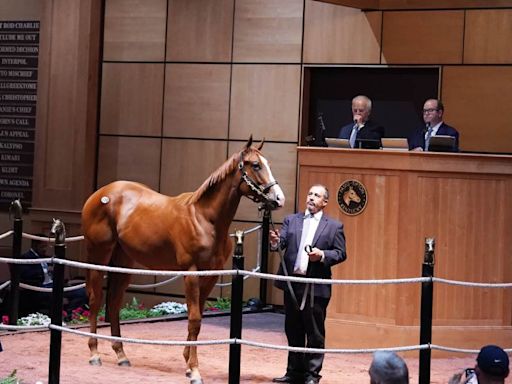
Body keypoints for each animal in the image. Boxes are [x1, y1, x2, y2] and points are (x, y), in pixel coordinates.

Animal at [82, 137, 286, 380]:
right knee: (95, 300)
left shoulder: (210, 276)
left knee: (113, 303)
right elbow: (194, 320)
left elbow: (196, 317)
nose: (279, 198)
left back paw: (121, 355)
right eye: (255, 165)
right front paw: (195, 370)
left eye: (268, 163)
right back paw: (94, 353)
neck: (205, 220)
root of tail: (100, 194)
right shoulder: (191, 273)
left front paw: (188, 363)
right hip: (99, 256)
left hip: (124, 262)